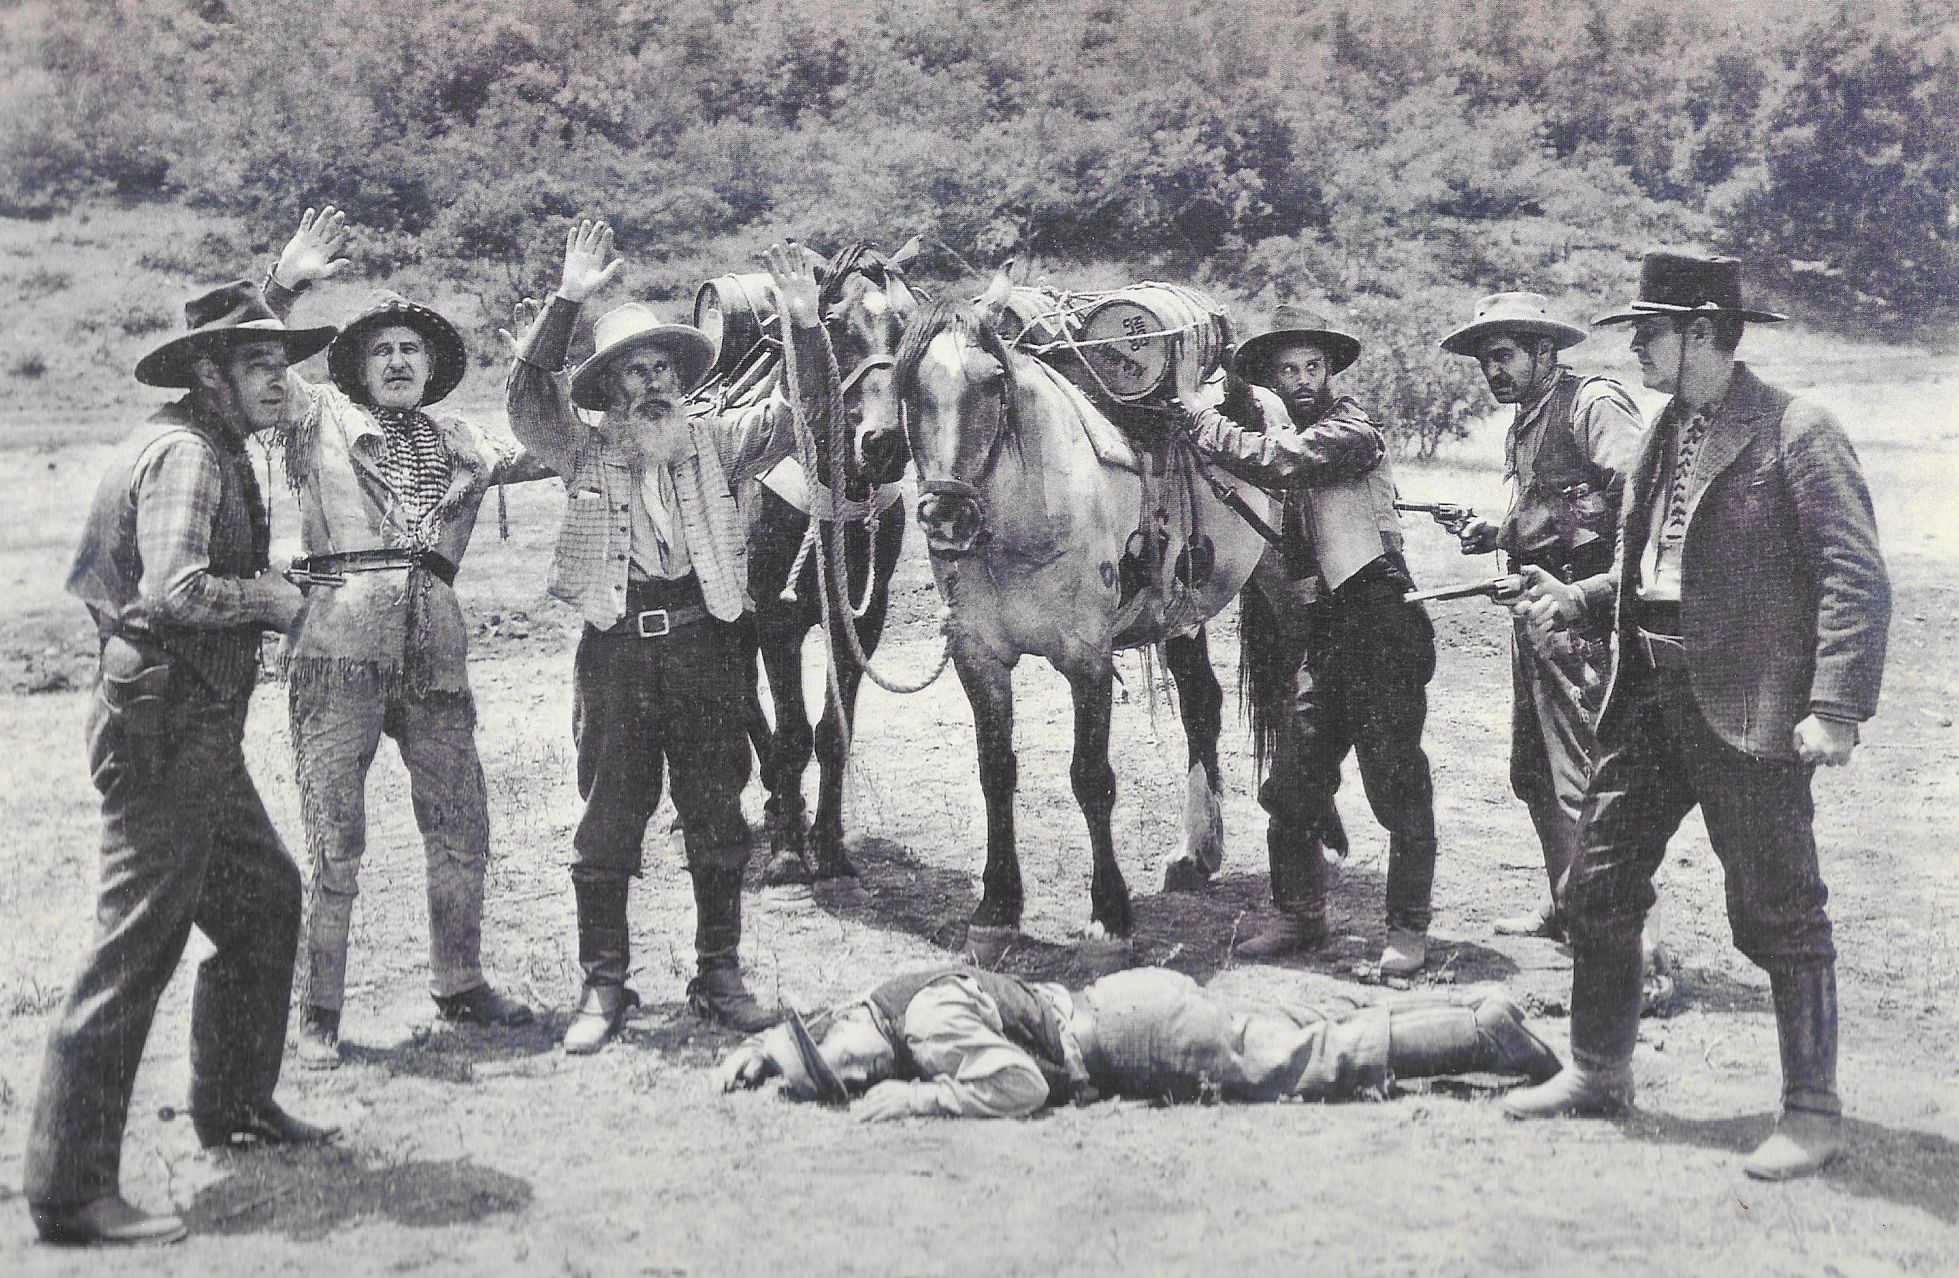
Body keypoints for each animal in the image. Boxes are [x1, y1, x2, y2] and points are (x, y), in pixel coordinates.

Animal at [732, 239, 920, 882]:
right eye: (834, 324)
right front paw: (790, 852)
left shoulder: (861, 618)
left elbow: (833, 730)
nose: (884, 444)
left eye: (908, 324)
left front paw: (831, 846)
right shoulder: (773, 616)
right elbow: (792, 730)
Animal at [897, 270, 1277, 948]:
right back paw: (1196, 854)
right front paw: (996, 907)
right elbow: (996, 772)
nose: (947, 519)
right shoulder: (977, 657)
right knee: (1201, 705)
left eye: (992, 383)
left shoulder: (1087, 660)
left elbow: (1091, 778)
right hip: (1181, 615)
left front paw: (1110, 911)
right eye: (907, 386)